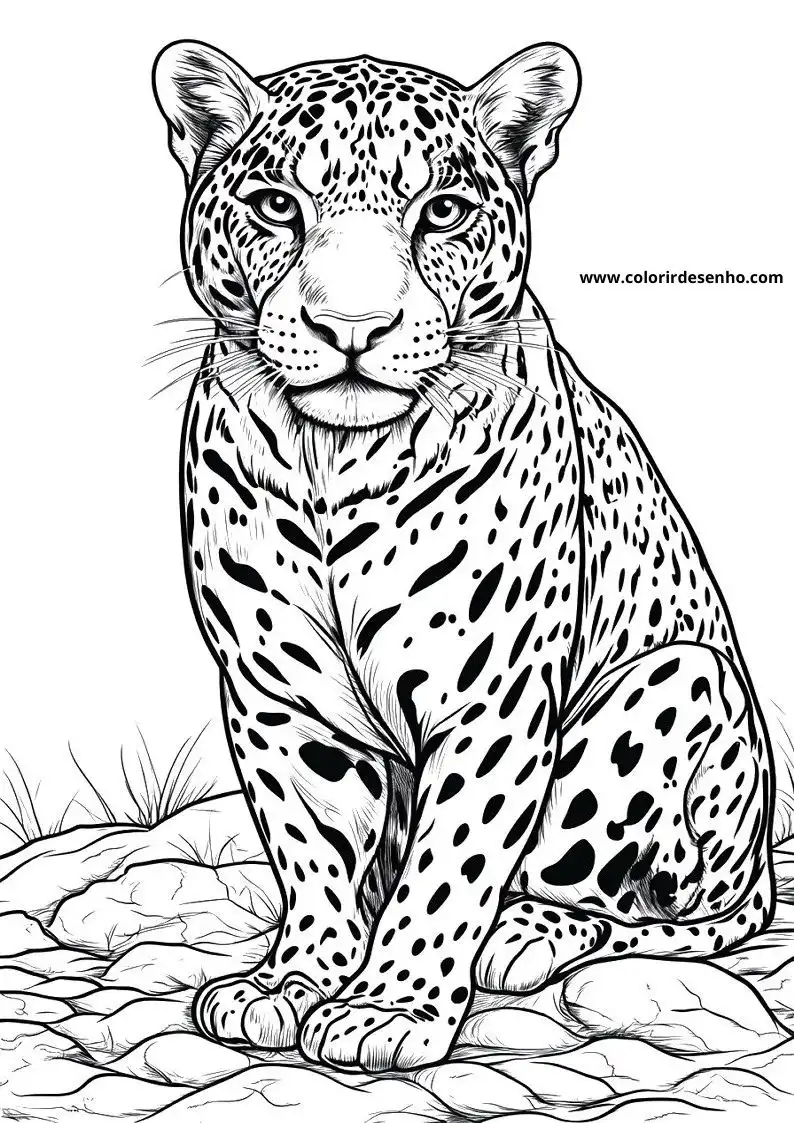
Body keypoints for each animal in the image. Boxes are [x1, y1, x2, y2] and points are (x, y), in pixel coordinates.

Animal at [152, 38, 775, 1072]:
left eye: (441, 211)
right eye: (277, 204)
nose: (350, 329)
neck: (336, 465)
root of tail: (762, 852)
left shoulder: (493, 696)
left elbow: (456, 855)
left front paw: (390, 1009)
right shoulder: (277, 693)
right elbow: (312, 844)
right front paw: (290, 982)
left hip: (676, 689)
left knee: (639, 904)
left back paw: (525, 933)